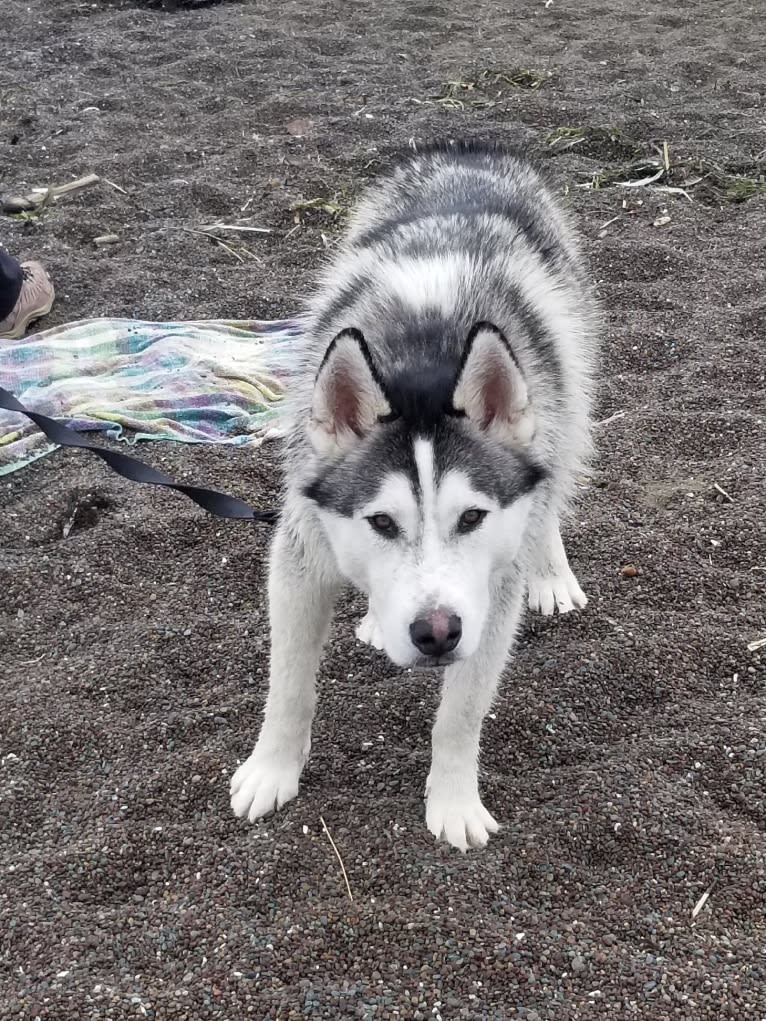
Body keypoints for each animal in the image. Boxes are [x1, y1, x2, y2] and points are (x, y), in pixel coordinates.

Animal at [230, 139, 604, 849]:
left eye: (473, 517)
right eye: (381, 523)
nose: (435, 633)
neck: (422, 354)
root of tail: (469, 149)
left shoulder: (489, 598)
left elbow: (461, 712)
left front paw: (454, 801)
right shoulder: (300, 555)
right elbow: (288, 684)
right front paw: (272, 769)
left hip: (565, 392)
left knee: (552, 484)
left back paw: (551, 571)